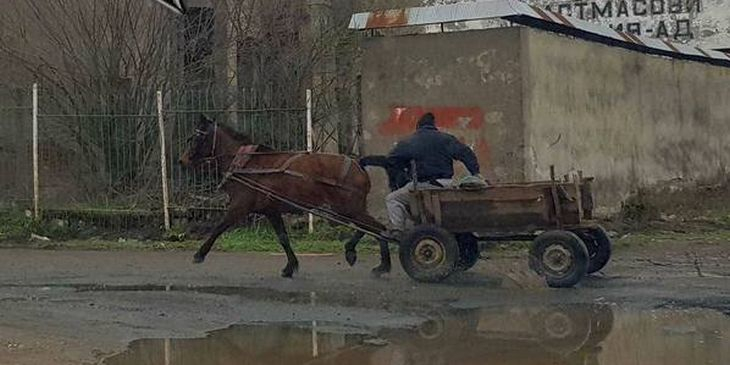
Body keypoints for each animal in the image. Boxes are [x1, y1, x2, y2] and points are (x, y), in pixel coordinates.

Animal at [180, 115, 390, 278]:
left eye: (196, 137)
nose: (182, 160)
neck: (246, 164)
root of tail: (358, 165)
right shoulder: (271, 210)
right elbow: (283, 238)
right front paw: (291, 266)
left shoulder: (239, 207)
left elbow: (218, 228)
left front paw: (199, 254)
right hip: (349, 209)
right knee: (371, 228)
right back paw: (366, 258)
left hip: (347, 208)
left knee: (376, 228)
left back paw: (376, 262)